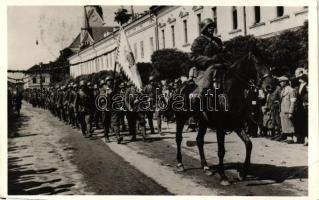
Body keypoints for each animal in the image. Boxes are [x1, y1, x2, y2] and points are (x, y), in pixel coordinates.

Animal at [172, 52, 276, 186]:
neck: (230, 93)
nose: (270, 86)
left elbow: (249, 144)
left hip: (203, 122)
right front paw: (223, 177)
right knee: (179, 138)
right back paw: (180, 164)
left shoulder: (237, 125)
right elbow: (221, 151)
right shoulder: (220, 128)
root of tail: (180, 87)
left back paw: (206, 167)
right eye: (258, 63)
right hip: (181, 118)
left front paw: (242, 174)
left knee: (199, 140)